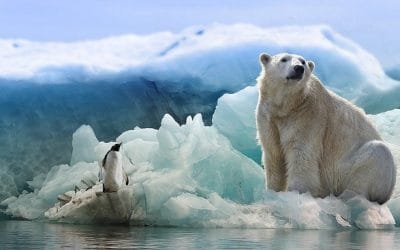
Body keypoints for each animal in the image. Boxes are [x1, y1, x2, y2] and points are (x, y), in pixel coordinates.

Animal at [256, 53, 396, 204]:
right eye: (284, 59)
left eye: (303, 62)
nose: (298, 68)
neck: (287, 106)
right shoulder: (268, 117)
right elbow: (274, 154)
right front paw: (272, 192)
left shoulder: (308, 116)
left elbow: (301, 154)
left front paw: (296, 194)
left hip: (349, 169)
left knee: (376, 155)